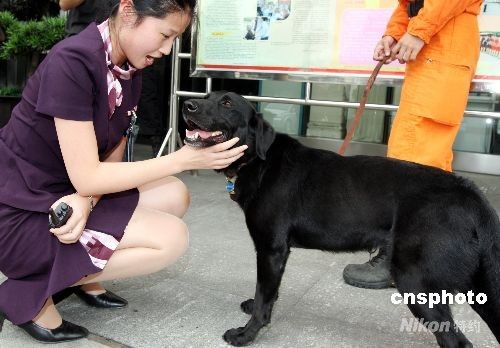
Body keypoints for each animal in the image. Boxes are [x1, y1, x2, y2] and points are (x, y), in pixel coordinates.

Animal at [182, 91, 500, 346]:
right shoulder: (278, 254)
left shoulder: (271, 250)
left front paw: (246, 334)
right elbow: (269, 293)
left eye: (226, 103)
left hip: (416, 280)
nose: (187, 105)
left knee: (456, 341)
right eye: (207, 95)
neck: (261, 161)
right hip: (478, 283)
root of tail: (471, 194)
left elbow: (263, 296)